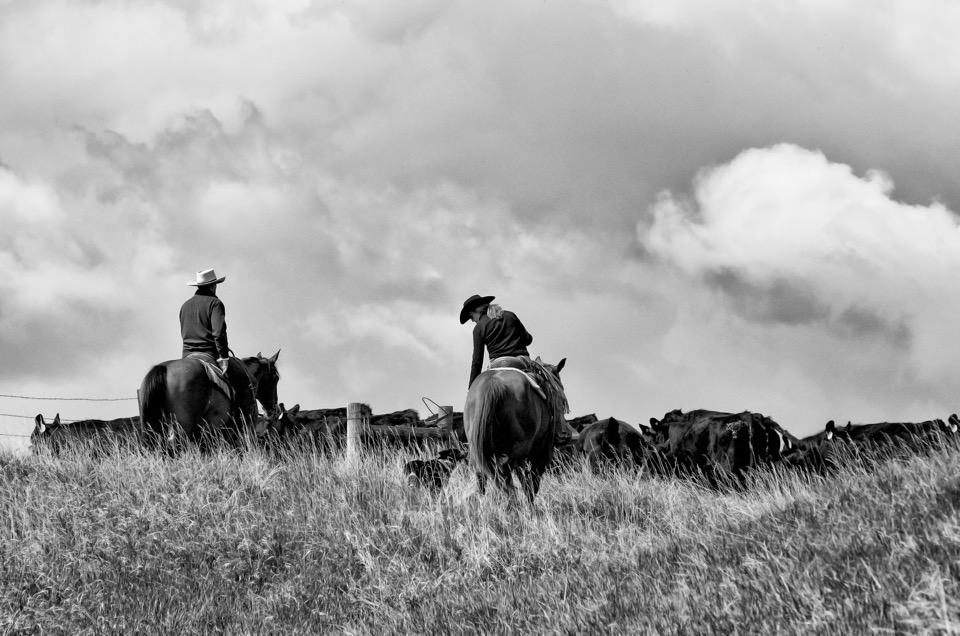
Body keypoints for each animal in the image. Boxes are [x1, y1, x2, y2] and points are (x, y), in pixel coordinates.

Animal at [464, 356, 564, 504]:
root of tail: (493, 382)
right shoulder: (543, 452)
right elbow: (533, 481)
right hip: (521, 446)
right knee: (506, 470)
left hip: (480, 449)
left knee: (484, 474)